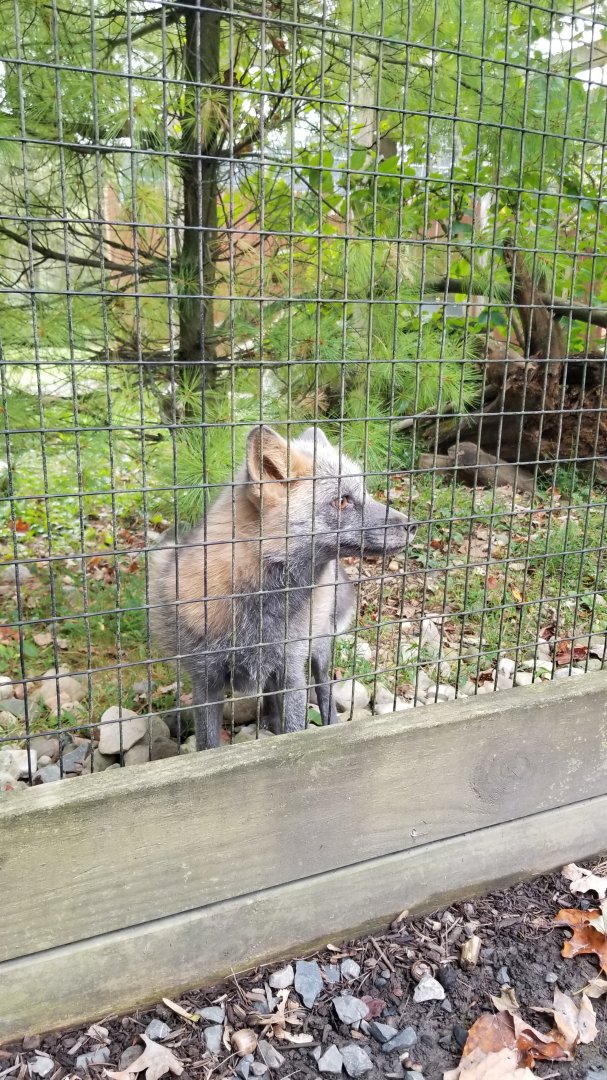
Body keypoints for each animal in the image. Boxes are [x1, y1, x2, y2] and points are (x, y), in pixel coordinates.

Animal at [150, 425, 416, 750]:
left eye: (364, 494)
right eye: (343, 501)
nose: (413, 525)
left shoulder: (292, 671)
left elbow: (295, 732)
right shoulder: (205, 680)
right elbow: (208, 745)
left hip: (318, 651)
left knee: (325, 689)